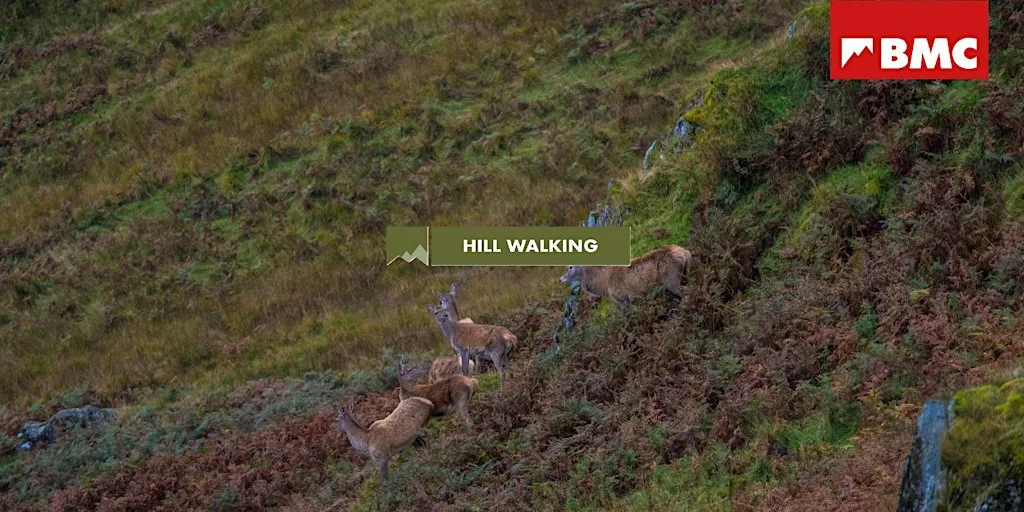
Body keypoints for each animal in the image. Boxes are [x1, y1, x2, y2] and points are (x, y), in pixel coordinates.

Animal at [559, 244, 692, 308]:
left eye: (570, 266)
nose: (561, 279)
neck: (605, 285)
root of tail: (685, 253)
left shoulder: (624, 299)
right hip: (685, 275)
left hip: (671, 279)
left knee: (685, 295)